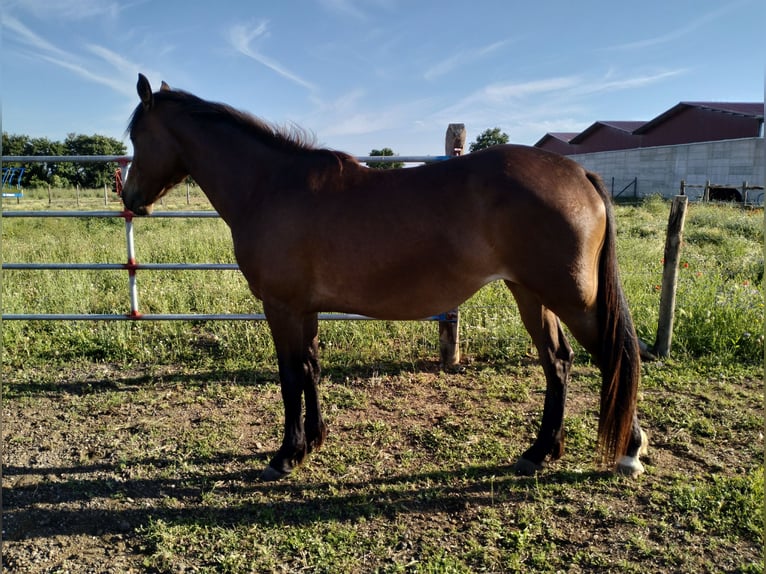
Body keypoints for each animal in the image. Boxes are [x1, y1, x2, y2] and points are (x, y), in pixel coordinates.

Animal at [122, 74, 648, 481]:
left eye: (137, 138)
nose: (130, 199)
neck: (269, 186)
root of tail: (578, 172)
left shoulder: (282, 307)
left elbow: (290, 375)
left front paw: (286, 455)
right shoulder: (305, 310)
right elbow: (311, 368)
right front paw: (314, 440)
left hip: (572, 298)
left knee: (612, 356)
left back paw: (628, 449)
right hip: (530, 294)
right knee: (557, 362)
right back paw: (541, 451)